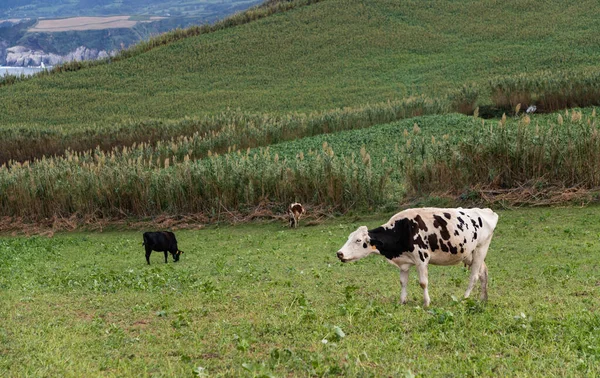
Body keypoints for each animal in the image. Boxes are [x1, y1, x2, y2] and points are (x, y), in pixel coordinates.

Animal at [336, 207, 500, 308]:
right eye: (349, 237)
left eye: (358, 240)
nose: (339, 253)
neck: (402, 229)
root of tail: (485, 210)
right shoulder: (404, 263)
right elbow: (403, 282)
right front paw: (402, 301)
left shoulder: (421, 259)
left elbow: (423, 283)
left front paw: (426, 303)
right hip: (470, 254)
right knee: (483, 273)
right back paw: (483, 298)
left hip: (480, 249)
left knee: (474, 276)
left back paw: (465, 298)